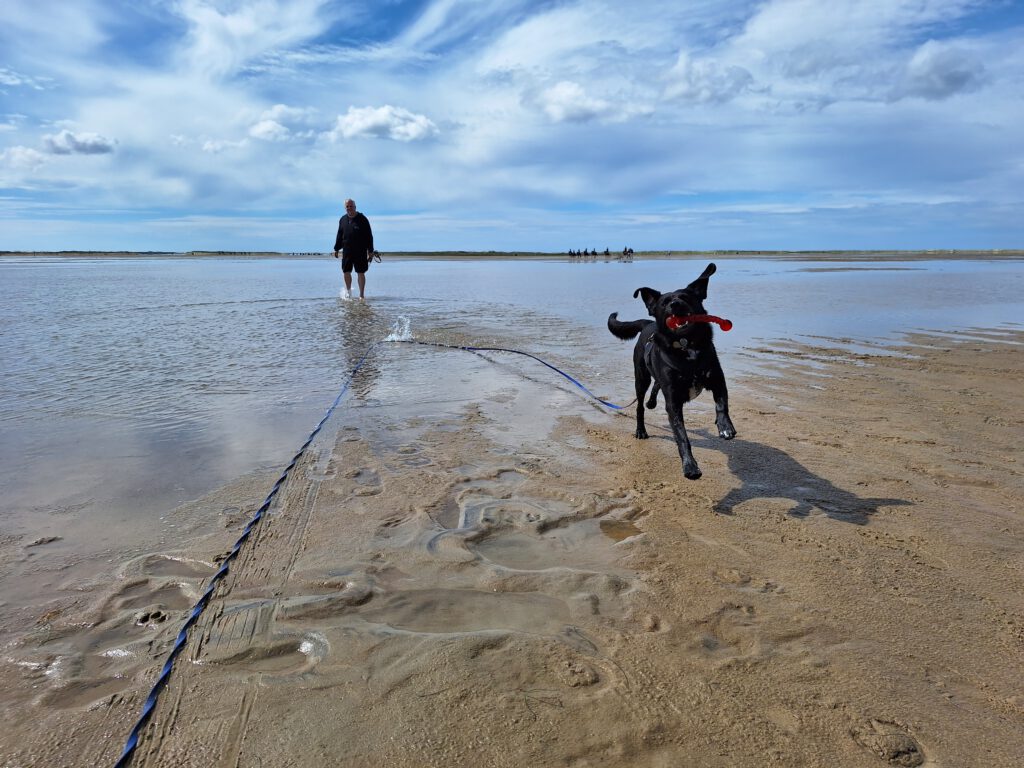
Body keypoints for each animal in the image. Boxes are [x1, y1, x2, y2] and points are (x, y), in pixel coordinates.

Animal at [606, 264, 737, 481]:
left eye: (685, 297)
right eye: (664, 303)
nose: (675, 304)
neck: (686, 345)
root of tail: (647, 322)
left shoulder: (718, 380)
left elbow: (721, 405)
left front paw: (725, 427)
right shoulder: (673, 402)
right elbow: (682, 436)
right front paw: (690, 466)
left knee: (656, 386)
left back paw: (652, 402)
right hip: (641, 378)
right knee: (640, 406)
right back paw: (641, 429)